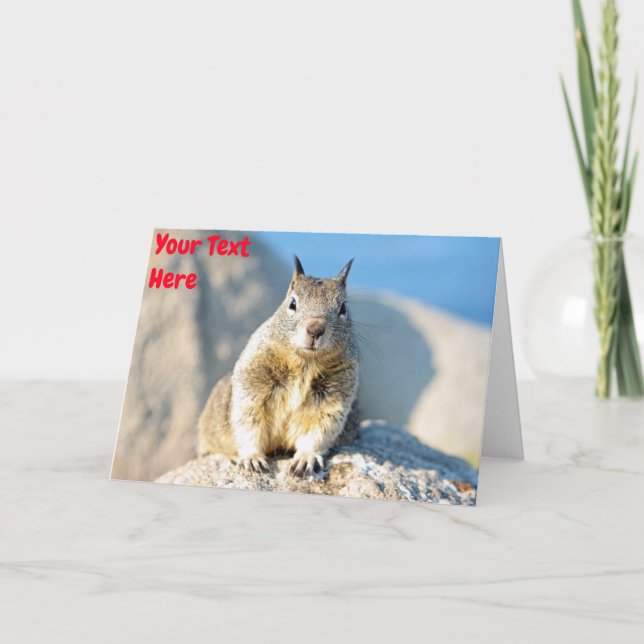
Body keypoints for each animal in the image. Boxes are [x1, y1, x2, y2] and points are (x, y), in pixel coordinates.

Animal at [197, 255, 360, 477]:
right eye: (292, 303)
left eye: (343, 308)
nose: (315, 329)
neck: (306, 363)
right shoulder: (252, 384)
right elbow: (248, 424)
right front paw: (252, 458)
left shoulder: (334, 400)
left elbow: (318, 431)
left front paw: (306, 458)